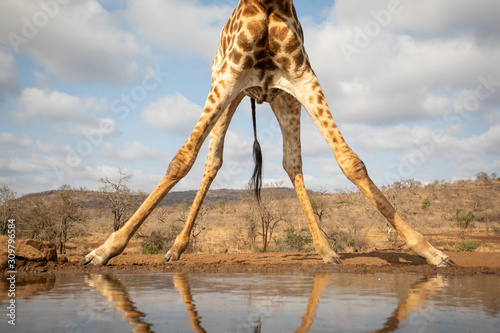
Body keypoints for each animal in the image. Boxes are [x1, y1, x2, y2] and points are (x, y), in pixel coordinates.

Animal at [80, 0, 456, 264]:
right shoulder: (229, 77)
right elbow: (182, 159)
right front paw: (104, 250)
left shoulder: (304, 77)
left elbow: (350, 161)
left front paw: (430, 251)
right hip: (226, 92)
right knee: (212, 162)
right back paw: (174, 249)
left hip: (283, 99)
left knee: (292, 163)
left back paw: (325, 250)